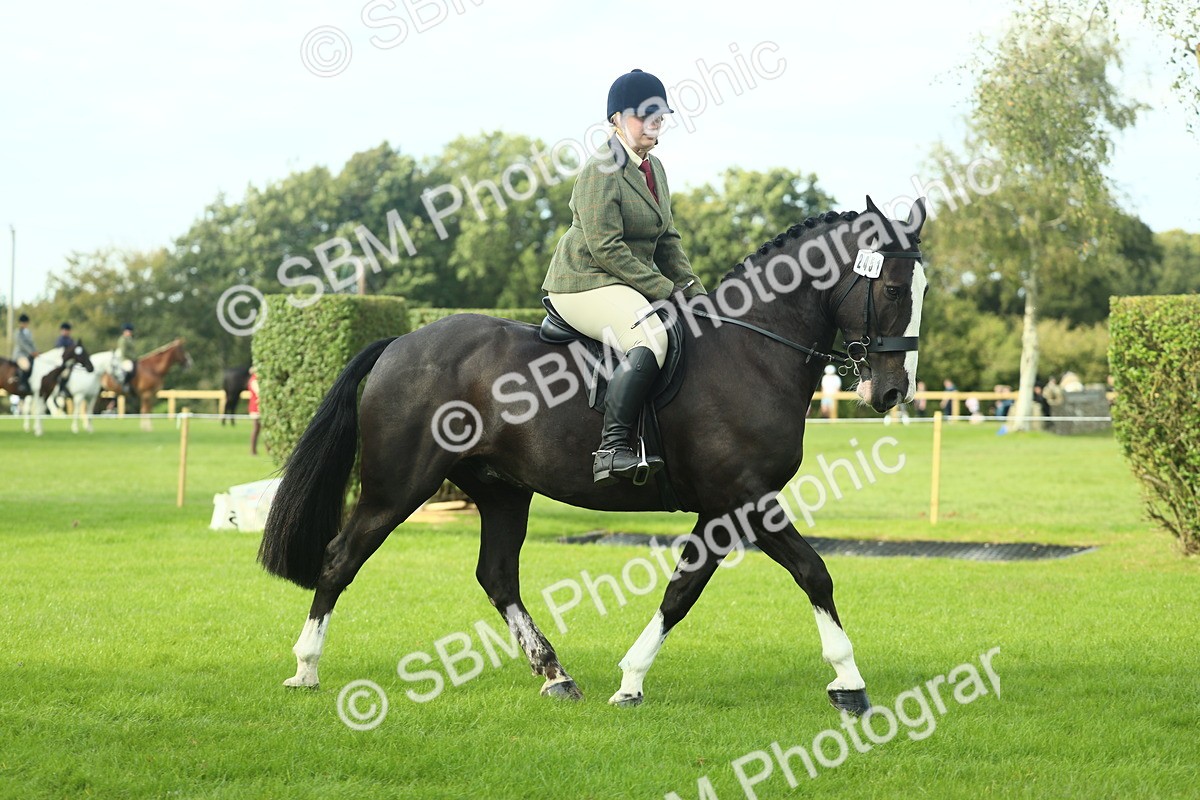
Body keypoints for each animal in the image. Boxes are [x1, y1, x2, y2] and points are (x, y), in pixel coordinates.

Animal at [259, 197, 928, 716]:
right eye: (895, 288)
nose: (892, 393)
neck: (752, 351)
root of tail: (401, 341)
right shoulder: (747, 500)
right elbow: (813, 572)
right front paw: (850, 684)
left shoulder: (722, 510)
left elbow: (682, 592)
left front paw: (630, 681)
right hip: (398, 486)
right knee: (340, 559)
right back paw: (305, 669)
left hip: (502, 489)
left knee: (496, 575)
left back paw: (555, 674)